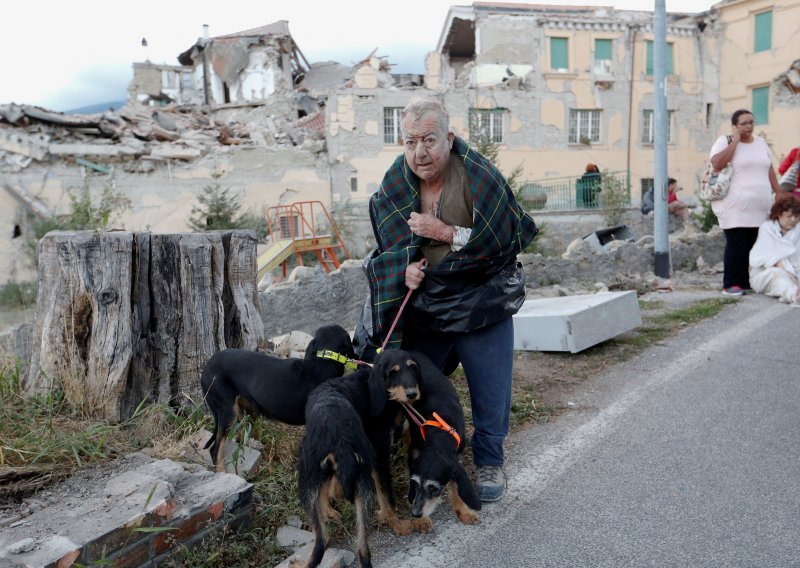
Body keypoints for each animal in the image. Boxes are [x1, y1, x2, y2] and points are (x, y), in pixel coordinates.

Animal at [199, 324, 354, 470]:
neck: (322, 362)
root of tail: (206, 368)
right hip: (228, 412)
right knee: (215, 450)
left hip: (248, 412)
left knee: (240, 437)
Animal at [406, 352, 482, 532]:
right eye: (416, 484)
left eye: (433, 488)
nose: (416, 514)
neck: (439, 435)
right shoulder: (413, 451)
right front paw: (421, 521)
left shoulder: (454, 459)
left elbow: (456, 486)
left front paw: (464, 512)